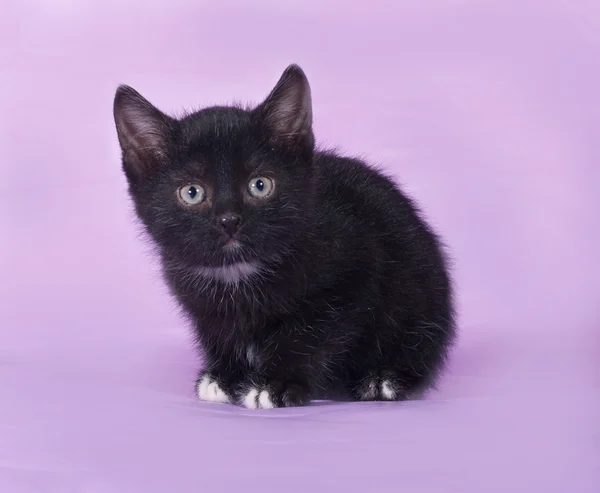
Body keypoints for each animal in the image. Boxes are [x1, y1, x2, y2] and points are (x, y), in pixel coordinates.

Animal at [113, 63, 454, 408]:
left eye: (260, 185)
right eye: (192, 193)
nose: (229, 220)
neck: (239, 274)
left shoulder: (355, 274)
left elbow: (307, 335)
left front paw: (275, 383)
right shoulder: (201, 304)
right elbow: (220, 333)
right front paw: (227, 376)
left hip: (417, 295)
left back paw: (384, 378)